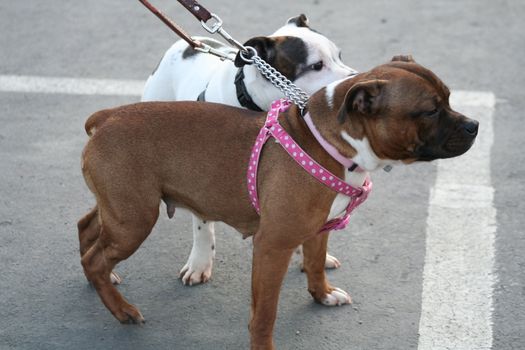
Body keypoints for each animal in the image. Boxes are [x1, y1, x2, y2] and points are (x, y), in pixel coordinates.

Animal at [79, 56, 478, 348]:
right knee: (96, 256)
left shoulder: (318, 229)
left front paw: (323, 295)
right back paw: (122, 310)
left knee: (87, 231)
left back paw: (101, 283)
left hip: (118, 209)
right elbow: (265, 313)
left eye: (448, 98)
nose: (474, 125)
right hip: (134, 220)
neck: (330, 141)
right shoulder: (273, 246)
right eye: (430, 111)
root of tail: (107, 117)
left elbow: (315, 264)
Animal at [141, 14, 358, 288]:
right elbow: (203, 224)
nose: (357, 78)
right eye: (317, 65)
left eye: (339, 55)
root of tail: (190, 44)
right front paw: (199, 263)